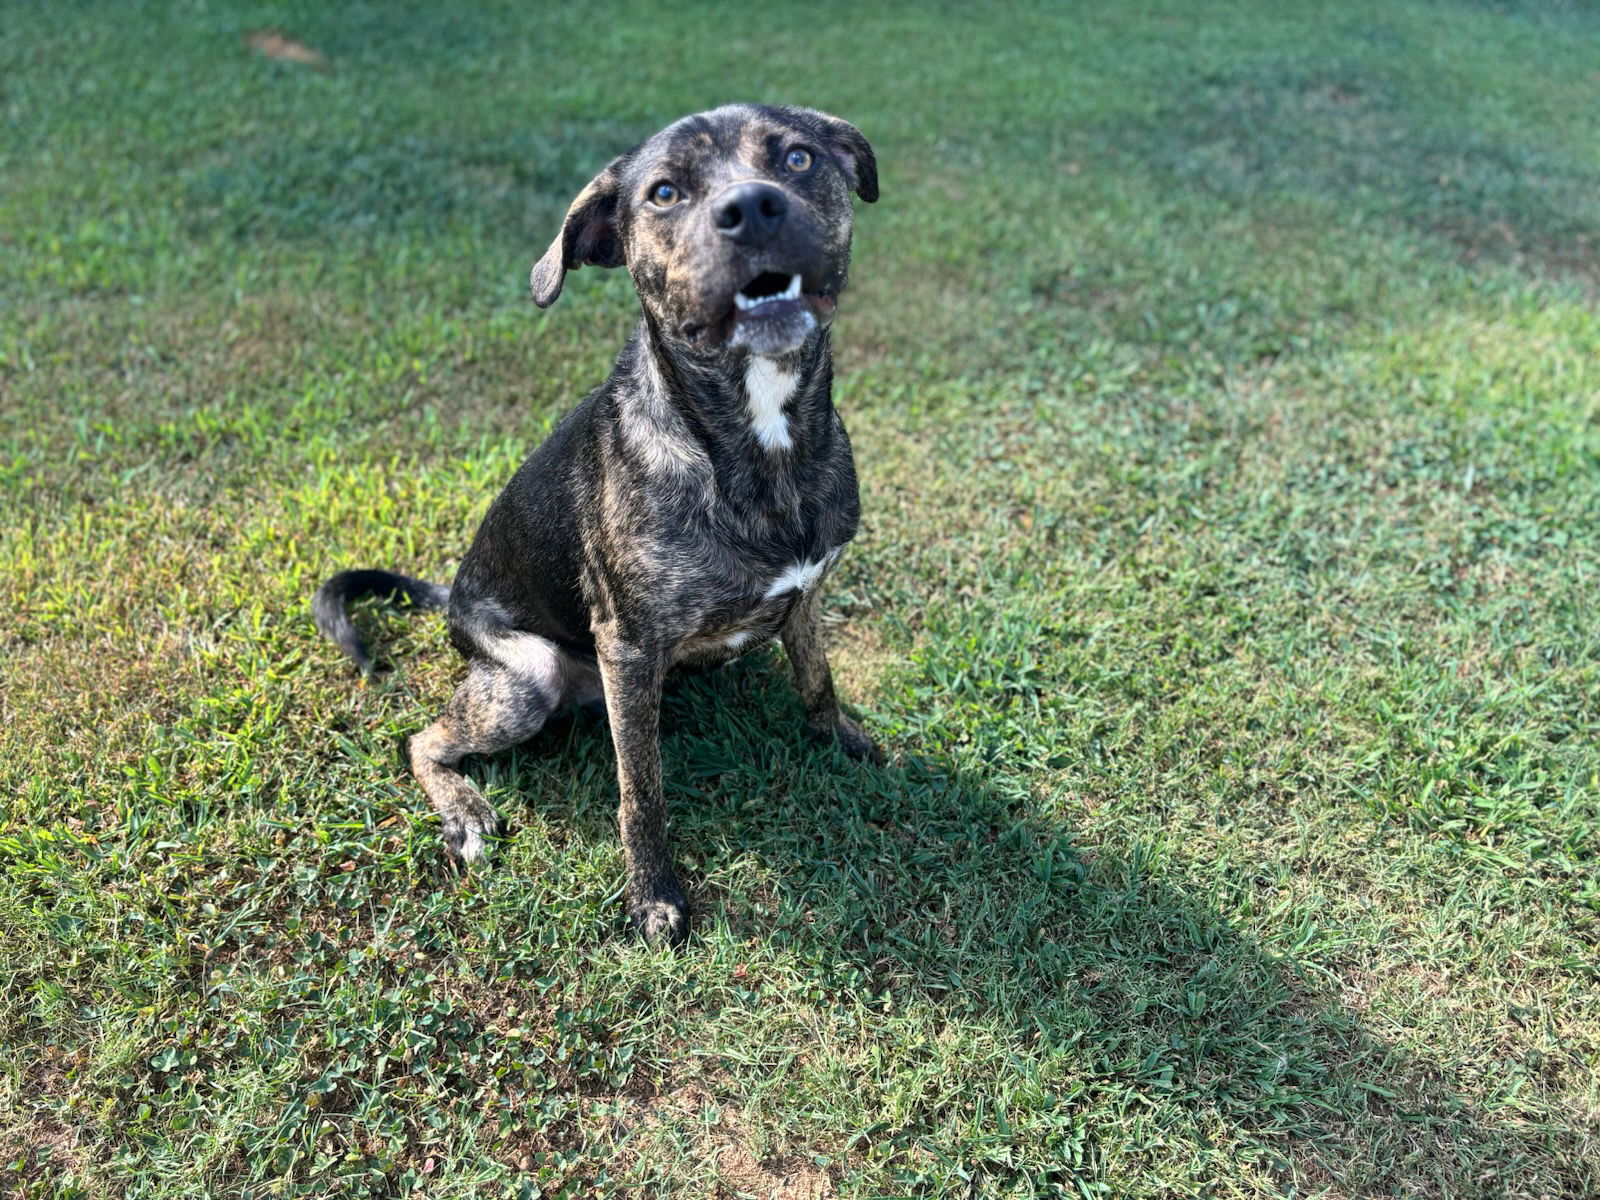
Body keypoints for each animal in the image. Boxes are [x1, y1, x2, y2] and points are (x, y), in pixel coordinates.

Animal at [308, 103, 889, 947]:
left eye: (798, 158)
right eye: (664, 192)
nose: (752, 208)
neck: (759, 439)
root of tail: (452, 599)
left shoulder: (807, 592)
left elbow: (818, 677)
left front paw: (839, 739)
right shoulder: (629, 649)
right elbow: (641, 791)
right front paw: (655, 898)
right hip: (530, 676)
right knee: (421, 740)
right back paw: (466, 812)